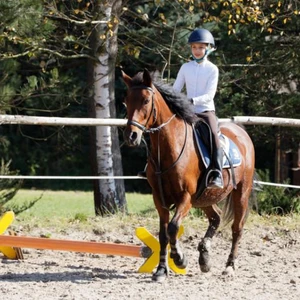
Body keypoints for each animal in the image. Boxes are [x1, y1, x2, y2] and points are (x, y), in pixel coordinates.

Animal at [122, 69, 255, 282]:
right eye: (126, 101)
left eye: (145, 100)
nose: (131, 136)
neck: (168, 149)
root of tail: (241, 132)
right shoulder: (159, 198)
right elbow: (163, 234)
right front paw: (161, 270)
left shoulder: (185, 197)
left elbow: (173, 227)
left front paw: (179, 259)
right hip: (205, 197)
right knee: (216, 217)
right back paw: (204, 257)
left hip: (240, 192)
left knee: (237, 228)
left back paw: (229, 267)